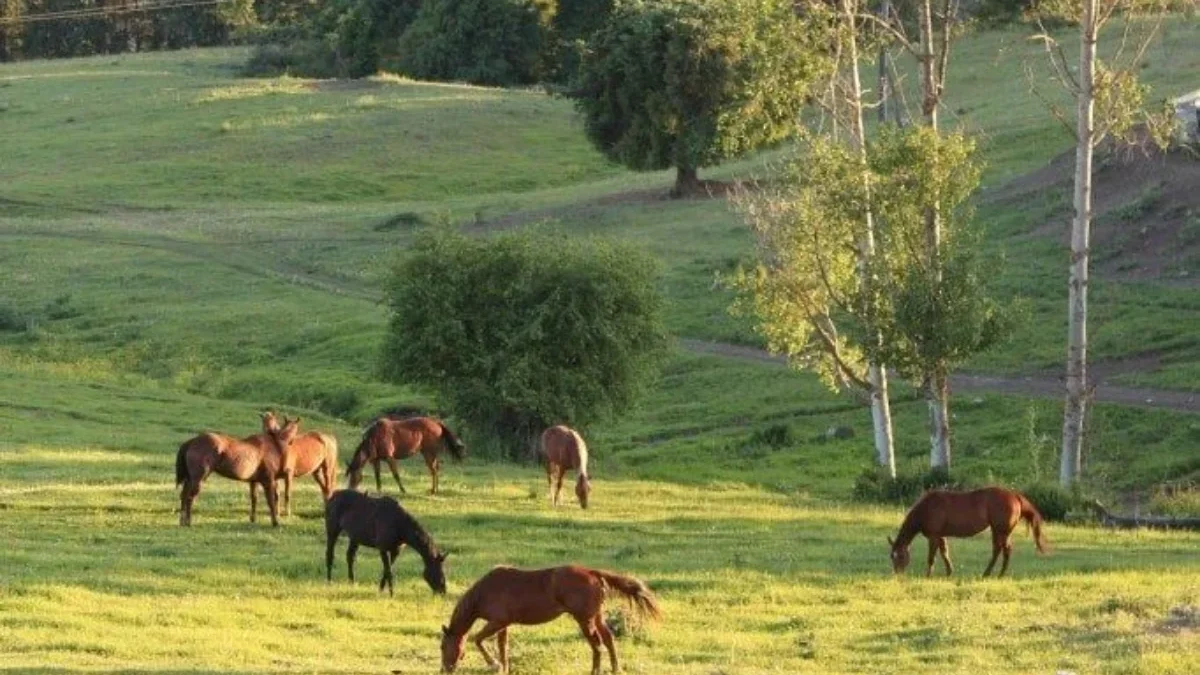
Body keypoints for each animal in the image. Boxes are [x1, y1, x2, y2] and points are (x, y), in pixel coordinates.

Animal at [441, 562, 667, 672]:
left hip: (584, 620)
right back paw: (615, 669)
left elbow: (477, 639)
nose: (445, 670)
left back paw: (595, 671)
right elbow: (503, 648)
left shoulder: (497, 622)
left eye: (443, 647)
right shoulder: (503, 625)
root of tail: (593, 573)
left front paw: (493, 663)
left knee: (597, 645)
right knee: (609, 640)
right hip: (596, 617)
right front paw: (502, 668)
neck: (485, 591)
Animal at [888, 485, 1046, 576]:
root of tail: (1014, 495)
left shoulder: (933, 537)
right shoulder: (941, 536)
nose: (897, 575)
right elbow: (944, 552)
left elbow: (931, 557)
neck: (927, 508)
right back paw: (992, 573)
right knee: (1000, 550)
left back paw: (994, 573)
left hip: (1000, 531)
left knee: (1003, 550)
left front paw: (928, 575)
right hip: (999, 531)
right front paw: (949, 572)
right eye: (892, 557)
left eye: (900, 556)